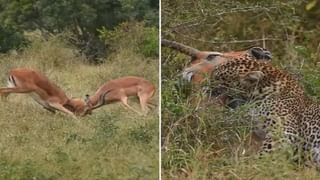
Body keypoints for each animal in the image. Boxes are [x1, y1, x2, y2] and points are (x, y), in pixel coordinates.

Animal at [182, 53, 320, 167]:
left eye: (217, 77)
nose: (204, 85)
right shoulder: (249, 119)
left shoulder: (284, 133)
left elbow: (264, 154)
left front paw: (250, 165)